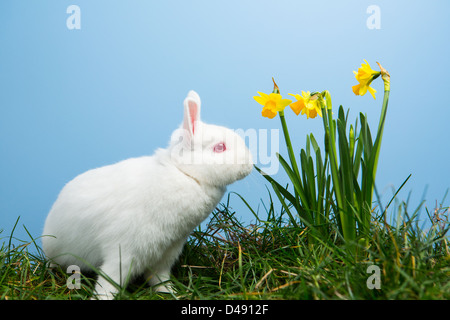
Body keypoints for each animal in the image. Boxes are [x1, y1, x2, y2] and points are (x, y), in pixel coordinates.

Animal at [41, 90, 253, 300]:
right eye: (220, 147)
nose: (250, 163)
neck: (186, 174)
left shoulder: (167, 251)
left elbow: (159, 278)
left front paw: (171, 292)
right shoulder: (124, 251)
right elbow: (109, 281)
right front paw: (102, 298)